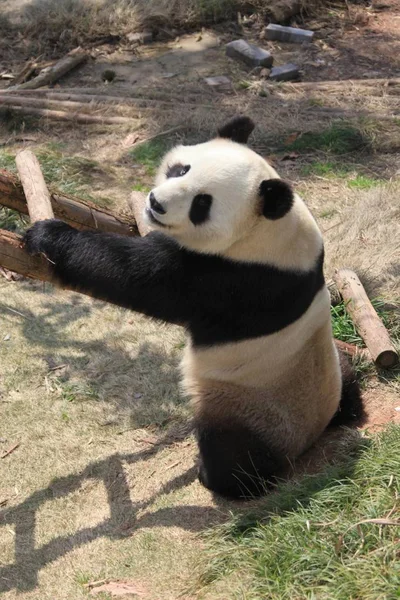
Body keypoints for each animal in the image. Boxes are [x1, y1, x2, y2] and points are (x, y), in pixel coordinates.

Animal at [25, 115, 362, 500]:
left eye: (202, 204)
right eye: (181, 169)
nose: (155, 203)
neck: (267, 229)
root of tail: (312, 435)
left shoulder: (234, 279)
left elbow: (135, 275)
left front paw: (49, 236)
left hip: (247, 404)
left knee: (233, 453)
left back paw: (220, 477)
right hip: (326, 369)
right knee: (346, 372)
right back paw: (348, 406)